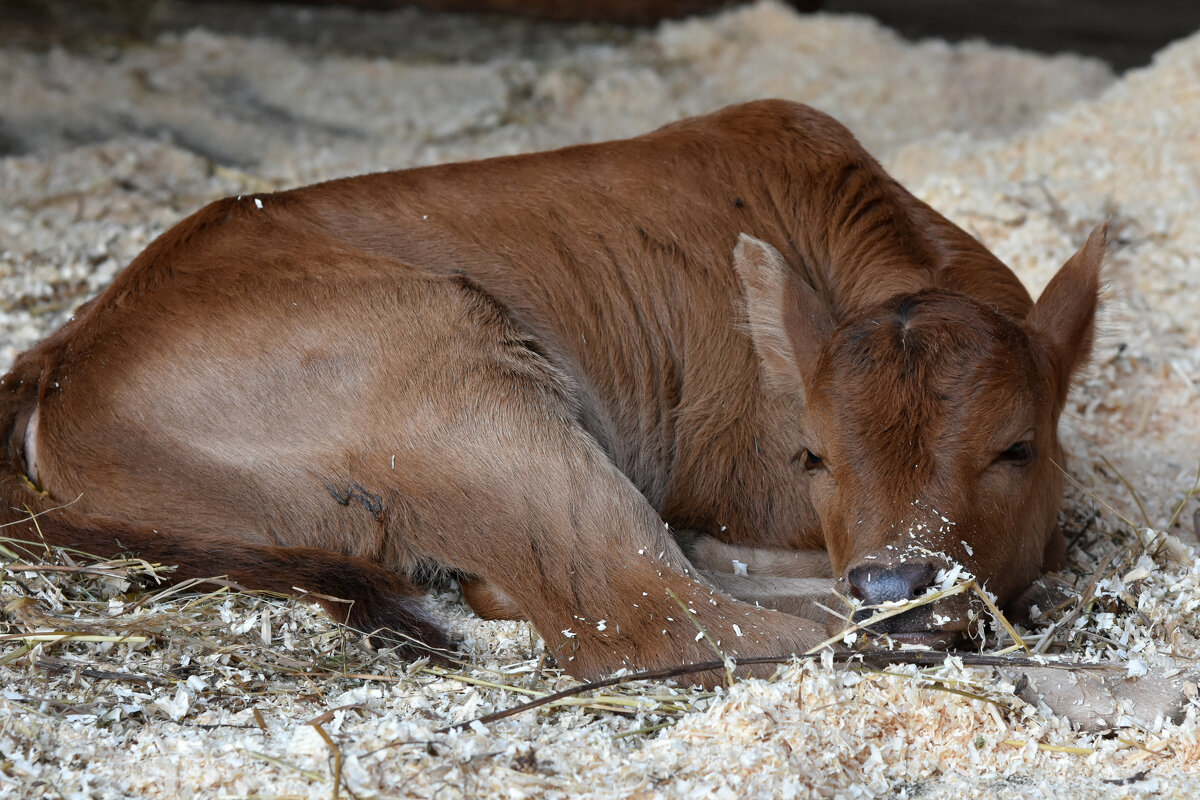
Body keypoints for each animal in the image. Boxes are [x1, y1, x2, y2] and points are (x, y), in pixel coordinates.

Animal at [2, 100, 1104, 681]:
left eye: (1016, 445)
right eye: (813, 454)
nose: (896, 588)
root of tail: (68, 352)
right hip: (460, 376)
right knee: (648, 614)